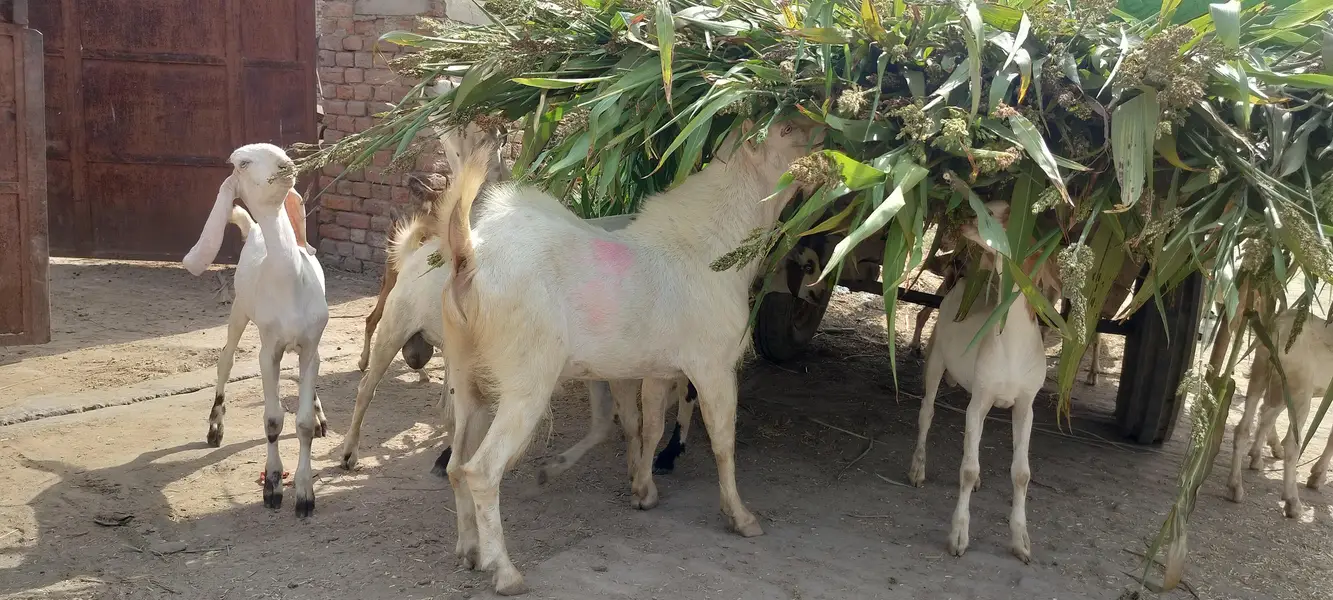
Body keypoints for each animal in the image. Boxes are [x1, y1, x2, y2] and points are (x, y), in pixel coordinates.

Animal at [183, 144, 329, 517]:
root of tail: (254, 231)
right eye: (242, 162)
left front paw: (305, 494)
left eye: (280, 151)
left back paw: (319, 414)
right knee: (225, 360)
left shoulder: (311, 343)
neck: (289, 282)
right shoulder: (268, 350)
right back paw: (215, 426)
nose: (287, 167)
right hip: (239, 310)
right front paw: (273, 486)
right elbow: (273, 420)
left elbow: (301, 422)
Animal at [432, 119, 819, 595]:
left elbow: (650, 428)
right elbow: (722, 442)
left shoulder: (660, 371)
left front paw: (644, 491)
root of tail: (469, 256)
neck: (708, 248)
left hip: (468, 381)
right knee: (482, 471)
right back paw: (504, 571)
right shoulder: (714, 367)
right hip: (526, 385)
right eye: (786, 127)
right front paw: (741, 518)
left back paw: (469, 551)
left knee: (456, 465)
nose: (829, 135)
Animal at [908, 199, 1062, 564]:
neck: (1013, 349)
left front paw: (1021, 542)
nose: (964, 221)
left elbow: (1021, 473)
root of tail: (964, 285)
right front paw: (958, 537)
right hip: (936, 359)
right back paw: (917, 470)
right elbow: (967, 469)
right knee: (927, 412)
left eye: (1002, 215)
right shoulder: (979, 399)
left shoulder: (1024, 404)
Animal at [1226, 308, 1333, 517]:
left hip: (1262, 374)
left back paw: (1236, 486)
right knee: (1291, 443)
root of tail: (1279, 330)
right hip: (1298, 391)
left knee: (1246, 426)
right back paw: (1293, 503)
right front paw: (1316, 478)